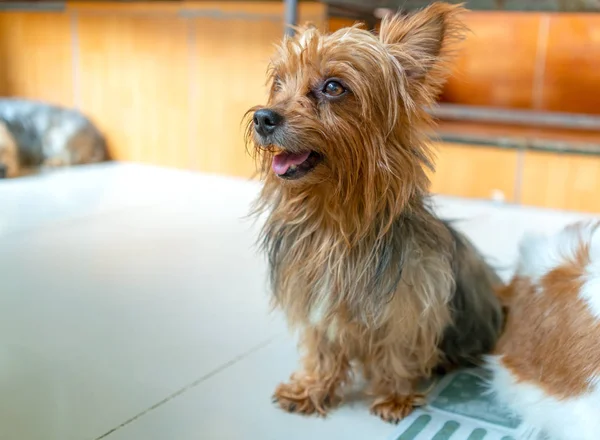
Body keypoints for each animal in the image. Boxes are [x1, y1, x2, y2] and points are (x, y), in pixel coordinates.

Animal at [246, 2, 504, 422]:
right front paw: (311, 389)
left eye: (334, 87)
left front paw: (395, 395)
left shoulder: (410, 302)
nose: (262, 117)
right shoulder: (316, 297)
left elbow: (398, 347)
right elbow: (322, 349)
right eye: (279, 82)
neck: (337, 219)